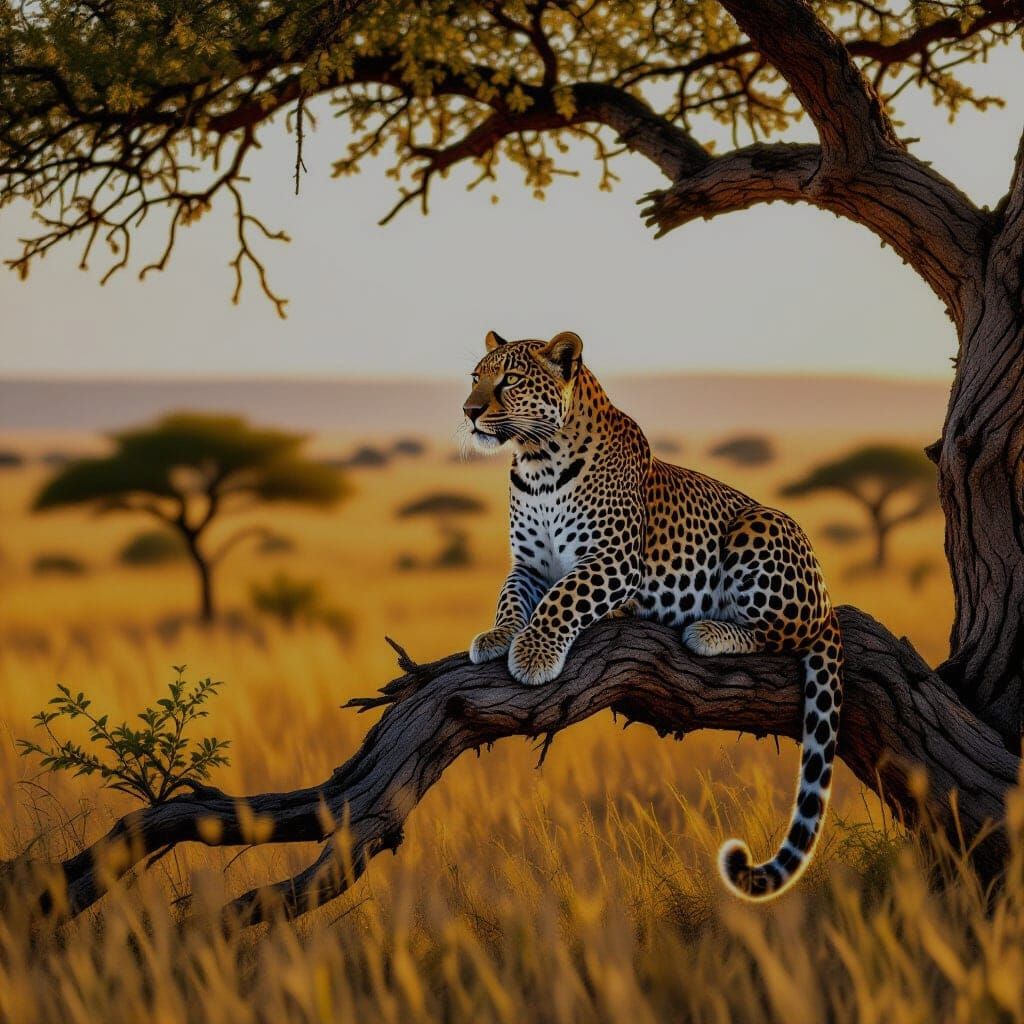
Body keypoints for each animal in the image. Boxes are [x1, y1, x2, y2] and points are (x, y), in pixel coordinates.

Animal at [462, 329, 844, 901]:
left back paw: (710, 631)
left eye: (509, 380)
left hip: (759, 526)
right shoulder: (528, 565)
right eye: (475, 377)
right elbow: (510, 597)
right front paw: (498, 635)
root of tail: (827, 594)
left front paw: (532, 654)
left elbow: (563, 597)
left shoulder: (613, 561)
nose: (468, 411)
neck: (536, 464)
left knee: (789, 631)